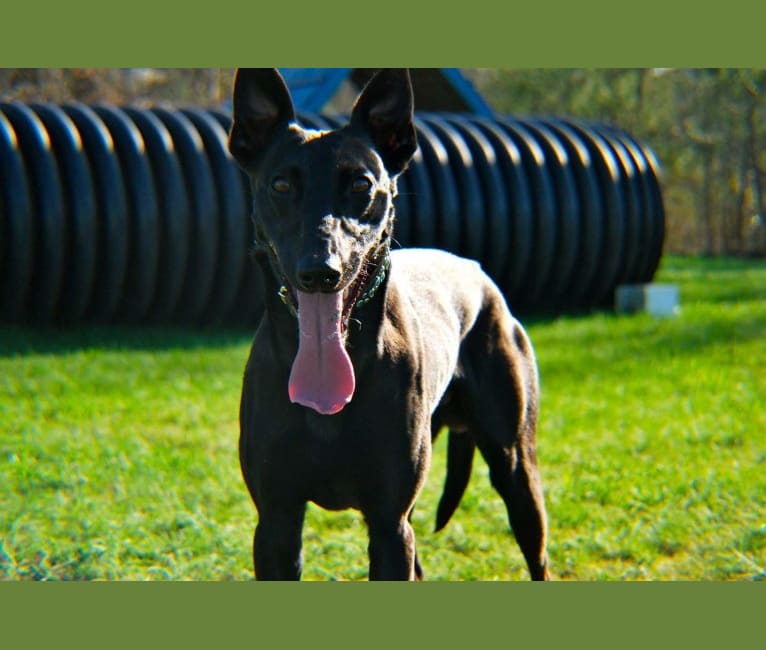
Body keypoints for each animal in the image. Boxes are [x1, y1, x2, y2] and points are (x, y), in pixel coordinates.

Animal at [230, 69, 552, 576]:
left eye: (361, 184)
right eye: (280, 186)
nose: (320, 271)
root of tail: (475, 270)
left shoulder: (388, 523)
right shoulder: (277, 523)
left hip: (515, 466)